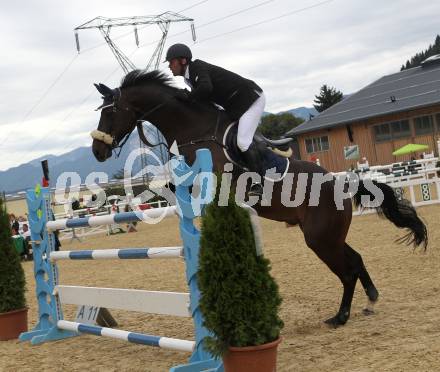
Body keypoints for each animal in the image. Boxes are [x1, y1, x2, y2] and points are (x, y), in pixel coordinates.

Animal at [92, 69, 426, 326]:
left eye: (110, 111)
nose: (98, 151)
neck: (194, 129)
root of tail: (343, 183)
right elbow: (171, 185)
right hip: (328, 236)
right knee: (355, 261)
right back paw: (370, 302)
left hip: (320, 238)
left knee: (346, 272)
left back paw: (340, 316)